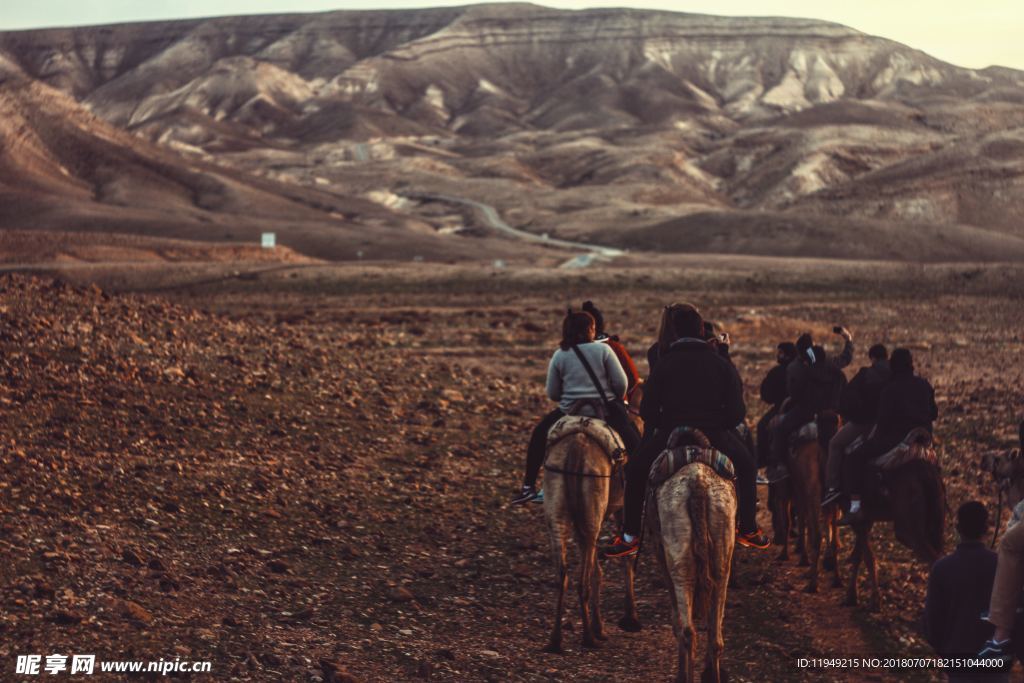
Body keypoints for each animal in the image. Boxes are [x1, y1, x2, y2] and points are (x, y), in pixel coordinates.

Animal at [643, 428, 733, 683]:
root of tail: (697, 482)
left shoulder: (661, 553)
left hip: (678, 555)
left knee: (686, 630)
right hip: (723, 547)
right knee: (715, 637)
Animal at [839, 430, 942, 610]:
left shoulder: (857, 521)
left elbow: (867, 557)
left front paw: (874, 601)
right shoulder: (866, 520)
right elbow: (859, 555)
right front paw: (852, 596)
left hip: (909, 531)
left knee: (934, 559)